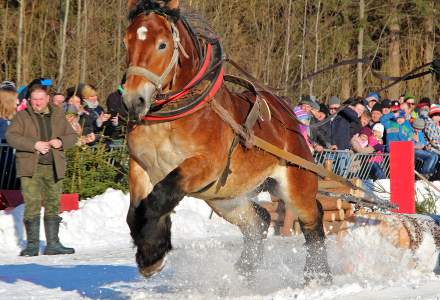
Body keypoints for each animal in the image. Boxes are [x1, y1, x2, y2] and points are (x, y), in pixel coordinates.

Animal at [124, 0, 330, 284]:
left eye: (162, 45)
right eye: (126, 41)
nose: (133, 100)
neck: (174, 116)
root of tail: (289, 117)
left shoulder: (206, 164)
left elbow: (160, 197)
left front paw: (153, 253)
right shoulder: (140, 165)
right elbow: (136, 212)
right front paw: (149, 253)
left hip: (295, 184)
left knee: (312, 220)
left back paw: (318, 277)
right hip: (225, 197)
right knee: (258, 221)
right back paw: (244, 270)